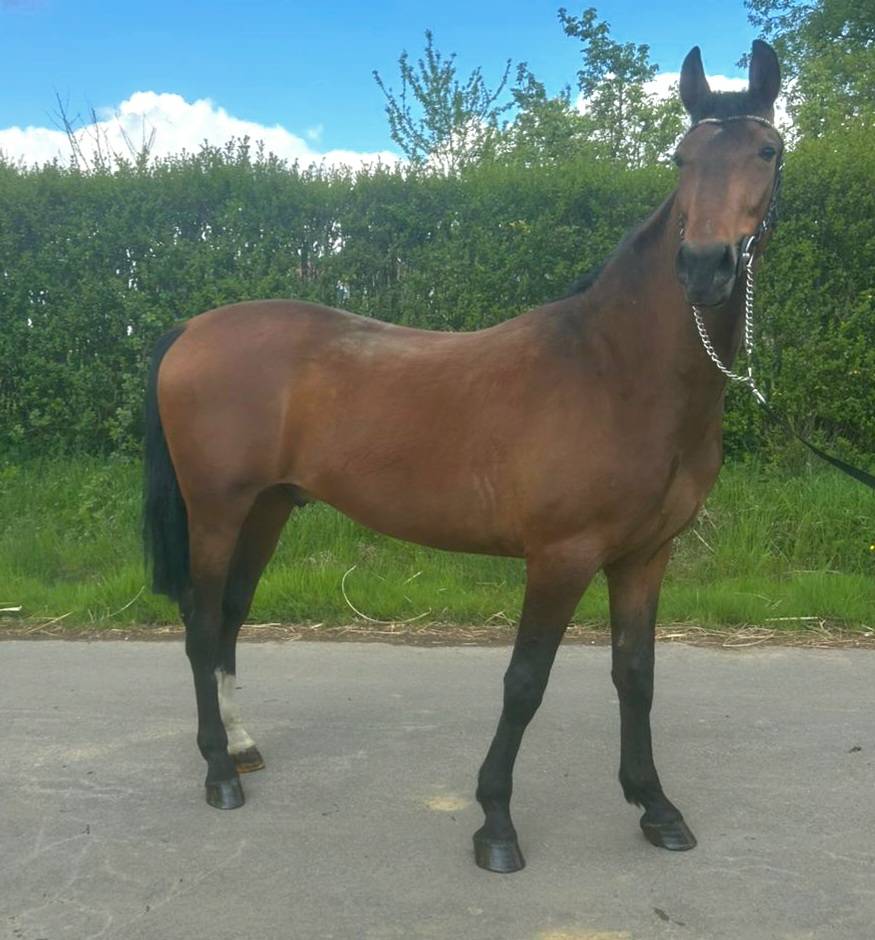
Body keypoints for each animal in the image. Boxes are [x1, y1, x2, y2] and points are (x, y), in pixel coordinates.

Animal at [143, 40, 783, 873]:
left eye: (766, 152)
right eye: (680, 159)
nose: (704, 265)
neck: (615, 370)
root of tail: (192, 328)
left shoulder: (645, 556)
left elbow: (635, 676)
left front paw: (655, 807)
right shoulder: (561, 557)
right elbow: (524, 683)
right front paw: (496, 824)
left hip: (268, 508)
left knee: (227, 616)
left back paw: (242, 747)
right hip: (217, 511)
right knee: (198, 621)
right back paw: (219, 772)